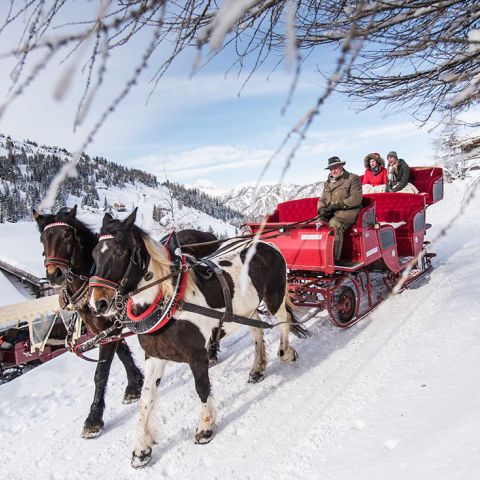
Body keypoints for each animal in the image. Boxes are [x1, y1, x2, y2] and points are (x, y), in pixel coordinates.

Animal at [34, 206, 219, 438]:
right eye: (43, 238)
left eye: (67, 235)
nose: (54, 274)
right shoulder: (105, 329)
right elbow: (122, 354)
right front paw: (134, 384)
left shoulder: (111, 330)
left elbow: (101, 373)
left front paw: (93, 419)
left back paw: (212, 352)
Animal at [89, 208, 308, 466]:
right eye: (94, 253)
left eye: (120, 251)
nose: (97, 303)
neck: (170, 301)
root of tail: (266, 243)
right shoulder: (154, 356)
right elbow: (146, 399)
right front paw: (141, 448)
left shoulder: (196, 356)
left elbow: (202, 388)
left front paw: (205, 427)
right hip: (247, 309)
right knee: (257, 332)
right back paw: (258, 368)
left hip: (275, 296)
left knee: (283, 322)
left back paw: (286, 353)